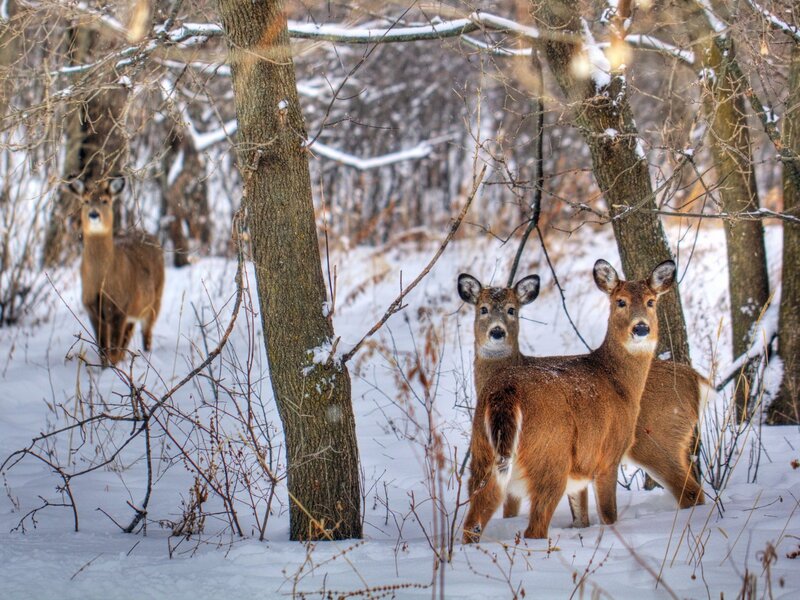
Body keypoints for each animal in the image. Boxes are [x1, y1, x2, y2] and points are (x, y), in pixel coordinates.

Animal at [71, 177, 165, 367]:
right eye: (85, 201)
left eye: (105, 201)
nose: (94, 214)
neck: (102, 280)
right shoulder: (92, 307)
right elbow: (103, 349)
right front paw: (105, 368)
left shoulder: (120, 305)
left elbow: (113, 350)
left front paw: (112, 369)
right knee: (128, 338)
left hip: (155, 299)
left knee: (147, 333)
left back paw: (147, 354)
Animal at [458, 259, 687, 542]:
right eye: (620, 301)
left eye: (651, 301)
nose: (641, 328)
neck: (619, 382)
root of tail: (506, 391)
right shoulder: (608, 454)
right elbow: (608, 515)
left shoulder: (580, 471)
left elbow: (581, 517)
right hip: (550, 458)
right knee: (534, 527)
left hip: (481, 453)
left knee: (474, 517)